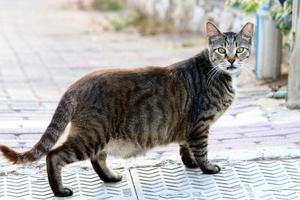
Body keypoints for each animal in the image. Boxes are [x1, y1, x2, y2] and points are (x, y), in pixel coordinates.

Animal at [0, 22, 253, 197]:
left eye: (240, 49)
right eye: (221, 50)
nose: (232, 60)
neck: (221, 74)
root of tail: (75, 85)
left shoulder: (188, 126)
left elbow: (185, 147)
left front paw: (189, 163)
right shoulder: (200, 124)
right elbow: (201, 150)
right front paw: (207, 168)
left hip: (99, 134)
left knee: (97, 159)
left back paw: (110, 177)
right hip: (91, 135)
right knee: (55, 155)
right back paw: (60, 191)